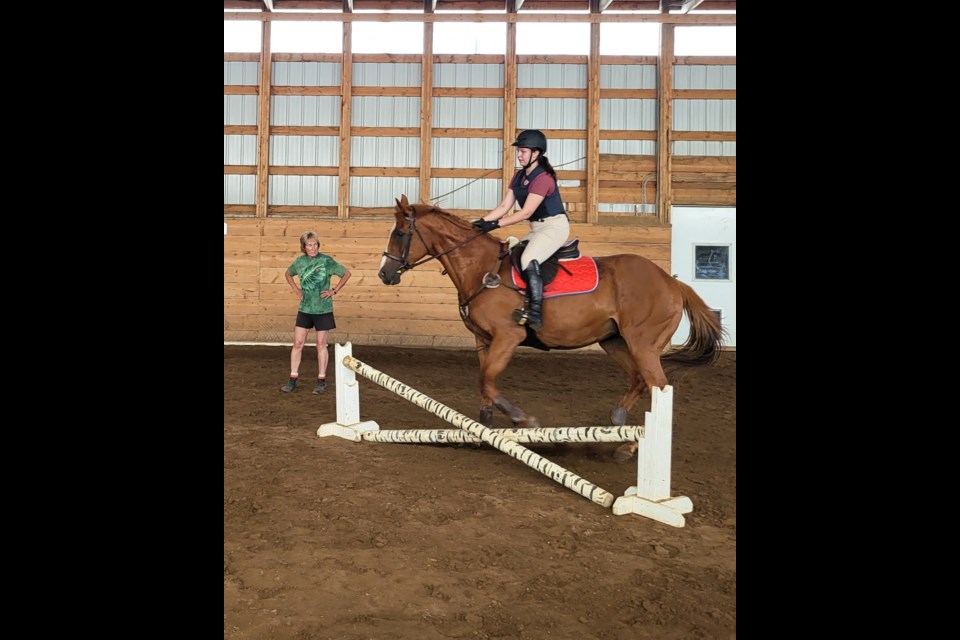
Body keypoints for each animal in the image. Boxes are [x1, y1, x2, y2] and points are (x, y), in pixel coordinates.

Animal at [378, 195, 724, 460]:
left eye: (400, 233)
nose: (384, 274)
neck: (481, 270)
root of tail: (672, 282)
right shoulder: (483, 340)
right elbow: (484, 385)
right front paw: (483, 429)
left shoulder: (508, 336)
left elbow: (488, 380)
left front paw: (524, 420)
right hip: (614, 341)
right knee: (640, 380)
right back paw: (619, 423)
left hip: (643, 344)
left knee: (658, 386)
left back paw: (631, 445)